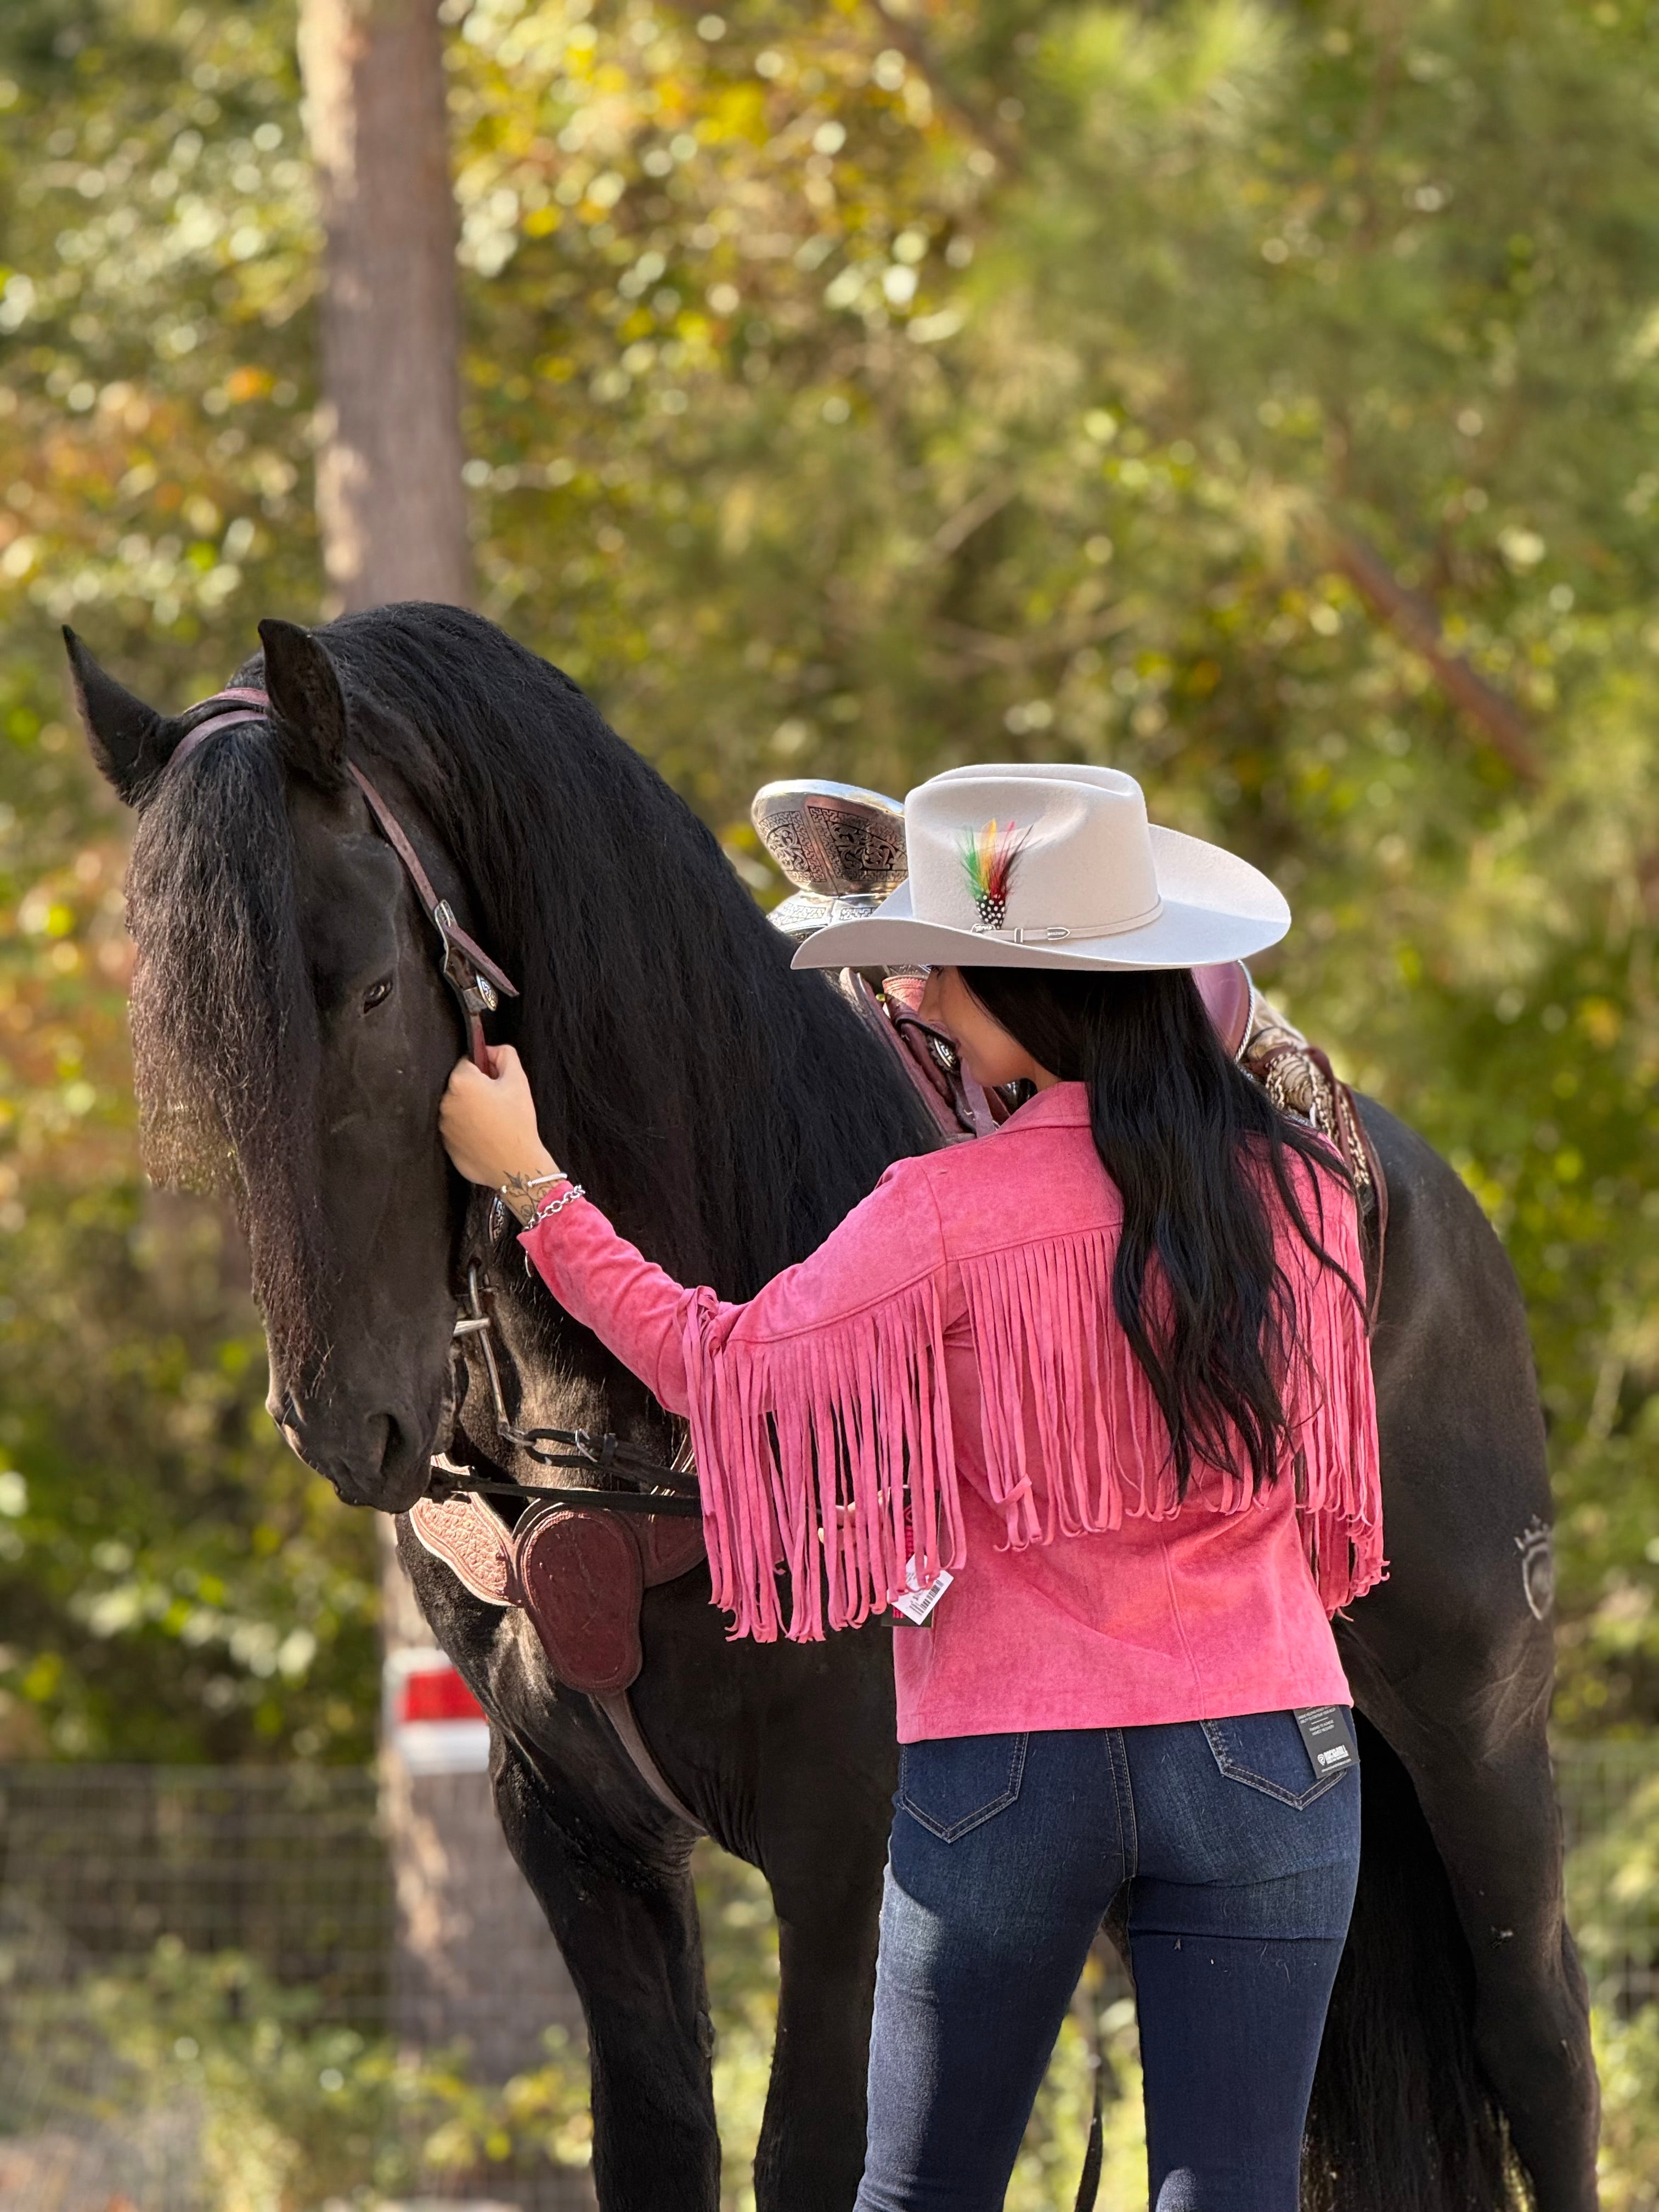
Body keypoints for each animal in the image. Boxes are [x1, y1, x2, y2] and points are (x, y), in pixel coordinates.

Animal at [68, 606, 1601, 2212]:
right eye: (192, 1047)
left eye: (372, 988)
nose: (337, 1420)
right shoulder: (577, 1833)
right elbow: (657, 2143)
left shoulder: (851, 1840)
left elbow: (810, 2150)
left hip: (1479, 1725)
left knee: (1541, 2043)